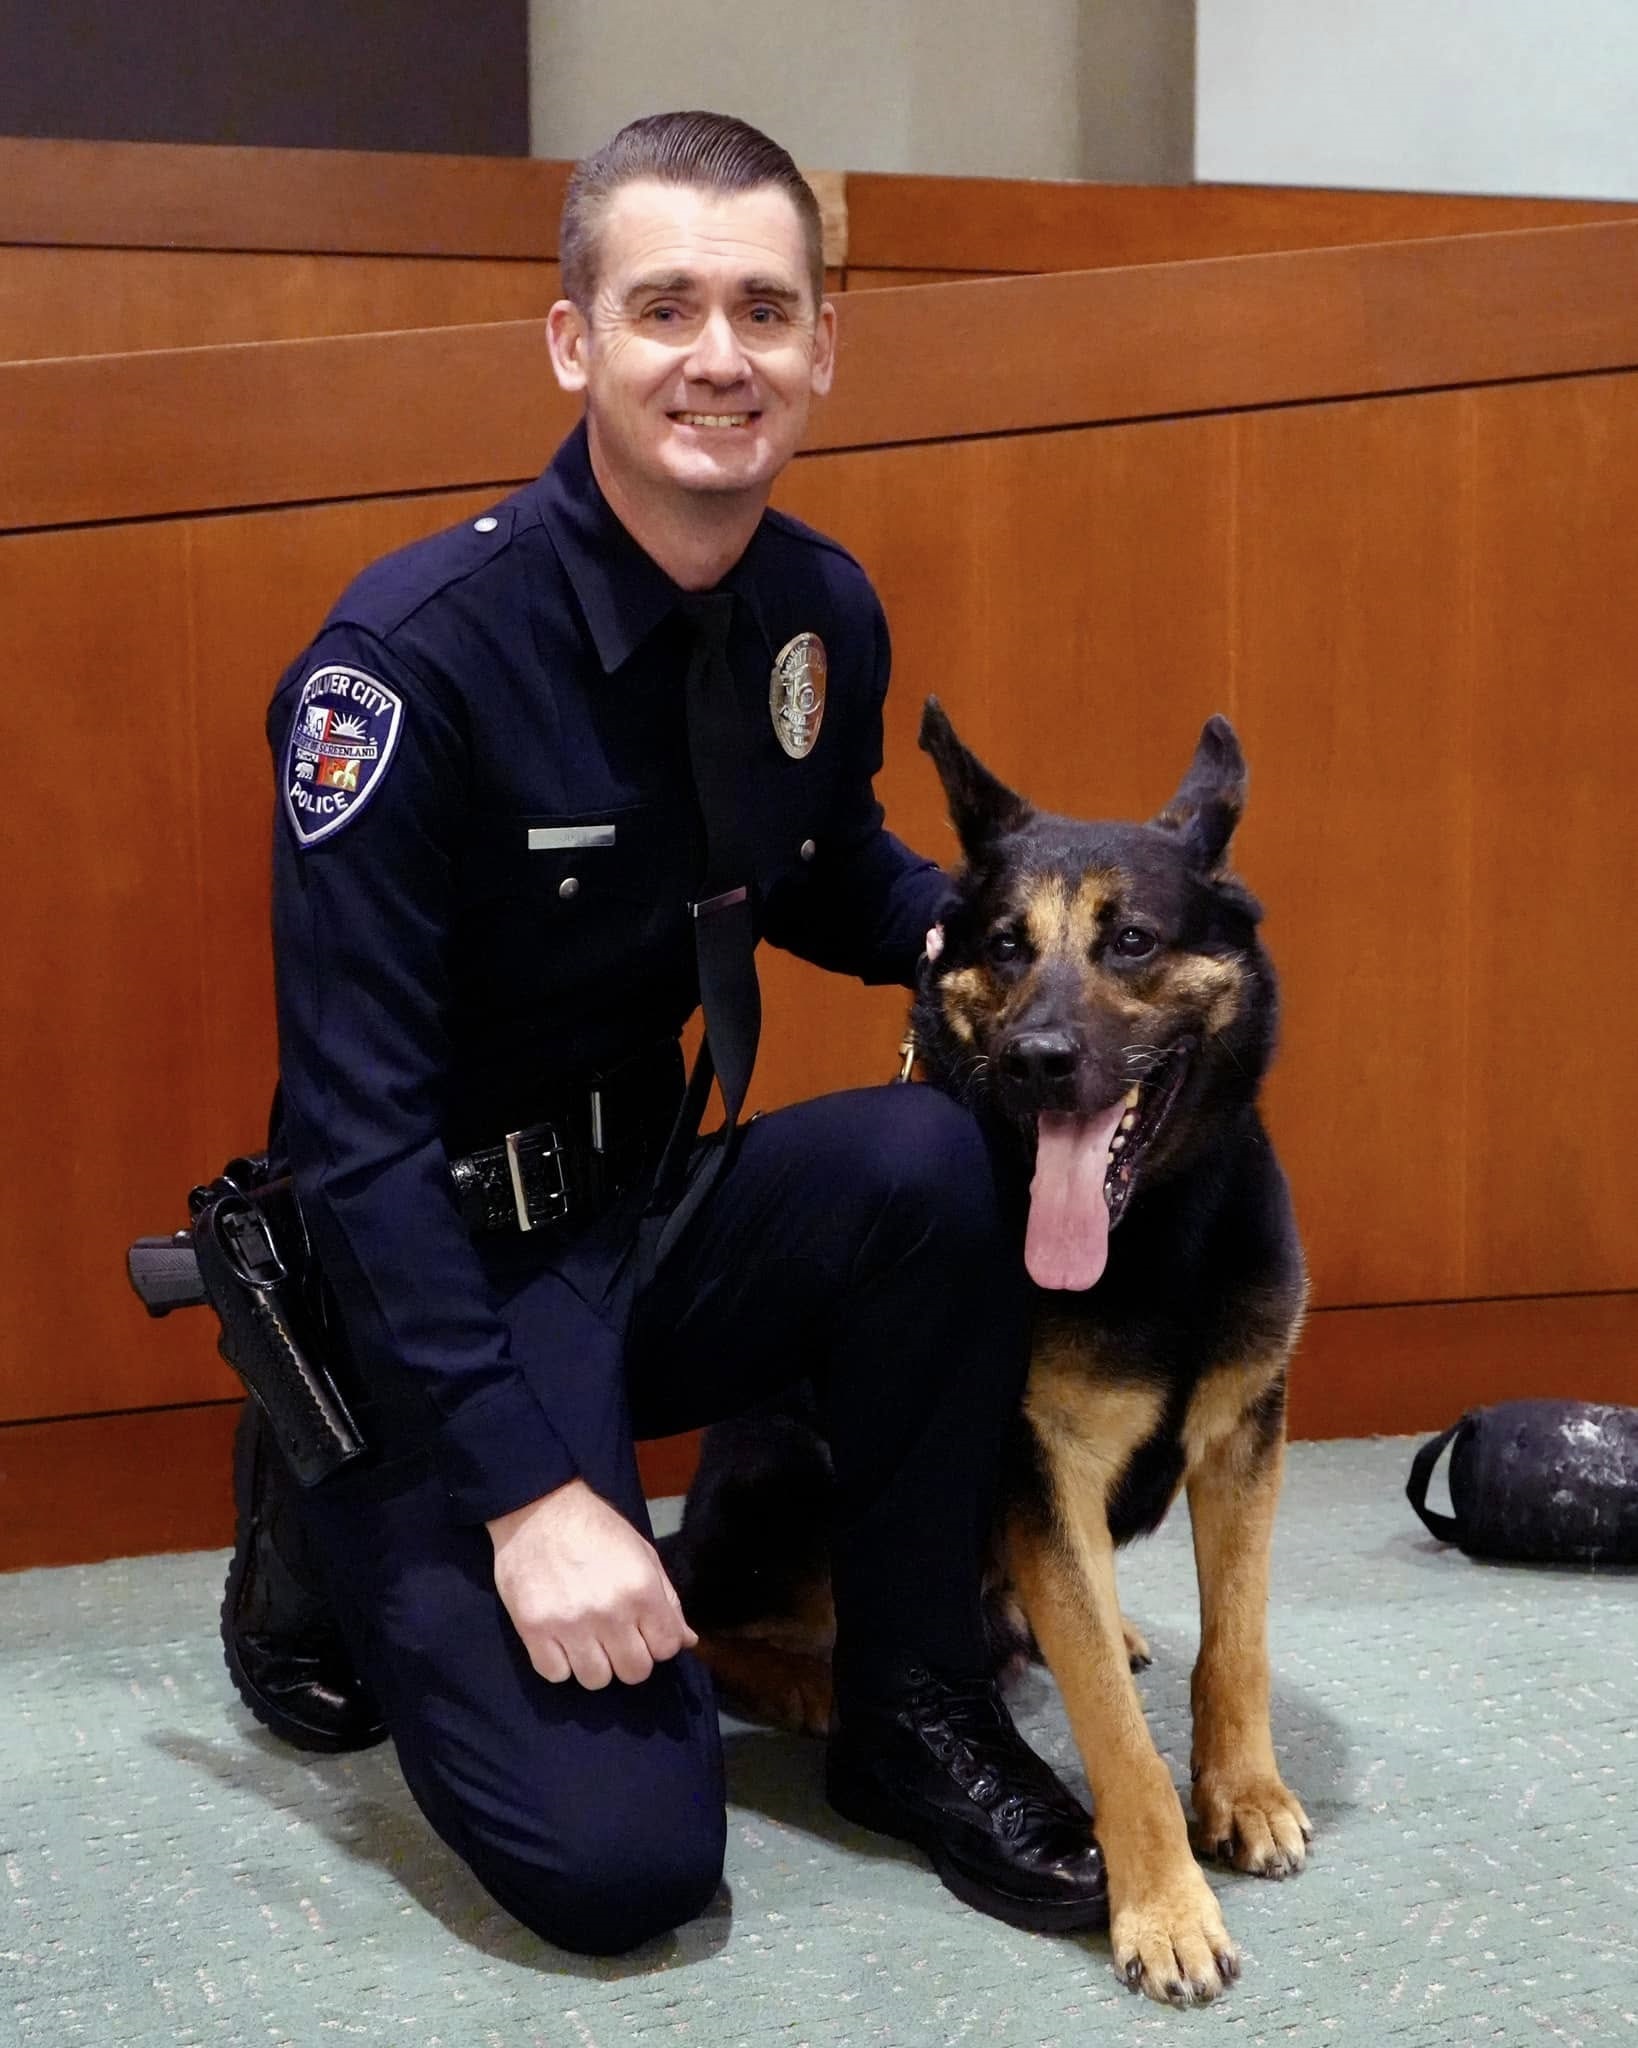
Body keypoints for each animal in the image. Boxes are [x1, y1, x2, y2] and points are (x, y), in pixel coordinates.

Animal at [663, 700, 1302, 1998]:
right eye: (1005, 946)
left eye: (1133, 940)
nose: (1038, 1059)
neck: (1157, 1232)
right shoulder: (1039, 1469)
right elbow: (1113, 1729)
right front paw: (1163, 1903)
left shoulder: (1241, 1439)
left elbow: (1239, 1638)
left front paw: (1244, 1789)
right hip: (797, 1464)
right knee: (710, 1611)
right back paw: (809, 1673)